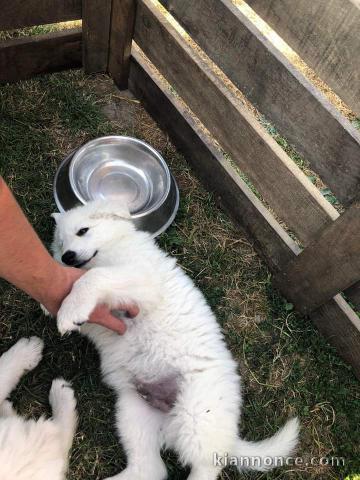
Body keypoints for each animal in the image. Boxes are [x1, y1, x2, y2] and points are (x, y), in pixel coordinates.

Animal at [51, 200, 298, 480]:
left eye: (83, 231)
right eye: (60, 243)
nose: (67, 257)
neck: (112, 247)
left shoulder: (141, 280)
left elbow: (95, 278)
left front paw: (70, 310)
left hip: (197, 413)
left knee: (208, 464)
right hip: (134, 413)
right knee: (151, 468)